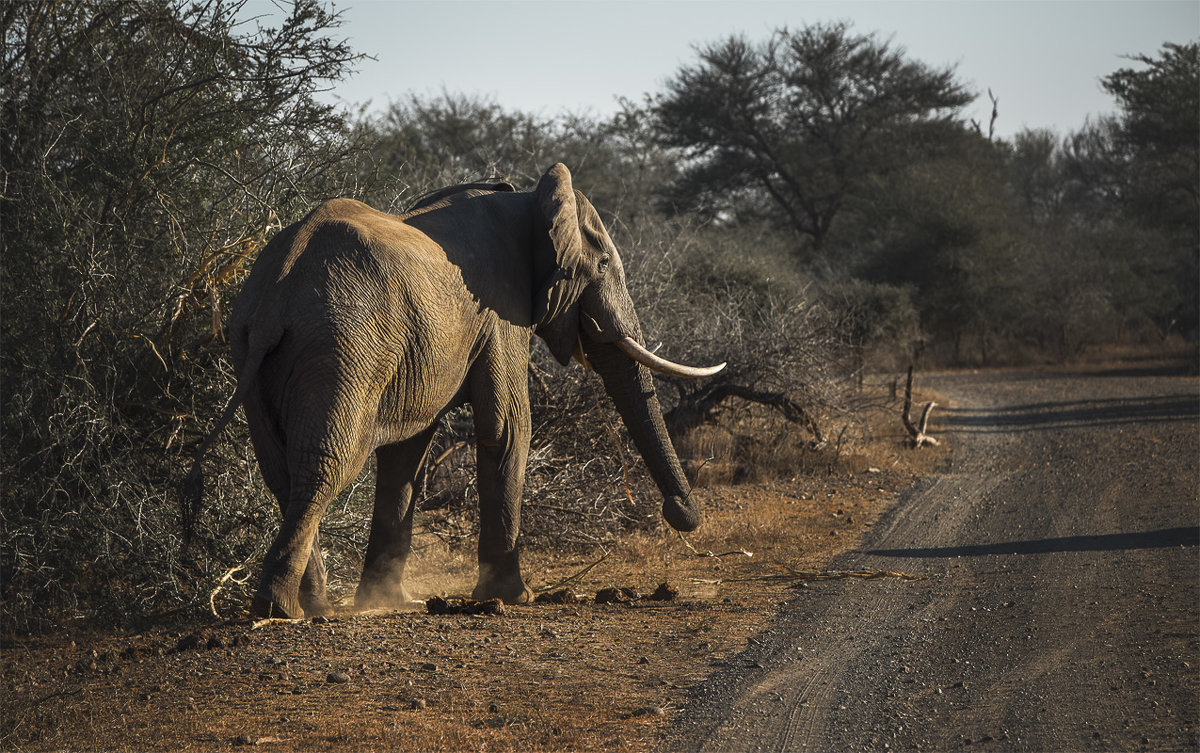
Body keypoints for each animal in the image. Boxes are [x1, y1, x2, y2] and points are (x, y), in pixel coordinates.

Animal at [186, 160, 720, 618]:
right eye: (605, 262)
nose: (680, 514)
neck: (529, 200)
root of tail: (275, 293)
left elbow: (407, 451)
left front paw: (388, 600)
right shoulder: (501, 308)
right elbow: (508, 427)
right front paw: (516, 598)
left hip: (254, 350)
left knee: (281, 471)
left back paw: (312, 606)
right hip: (339, 347)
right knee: (326, 465)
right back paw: (282, 610)